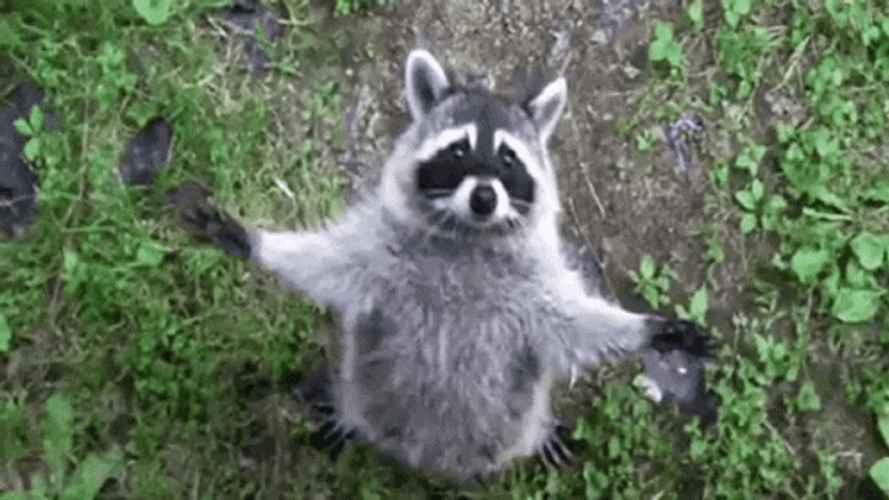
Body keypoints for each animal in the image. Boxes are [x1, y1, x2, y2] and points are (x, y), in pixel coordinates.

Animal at [174, 50, 711, 482]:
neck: (467, 238)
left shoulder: (532, 288)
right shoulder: (380, 255)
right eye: (458, 150)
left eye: (509, 160)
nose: (484, 197)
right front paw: (256, 242)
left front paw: (645, 329)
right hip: (369, 390)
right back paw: (350, 416)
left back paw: (536, 436)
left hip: (511, 421)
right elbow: (327, 263)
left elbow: (572, 323)